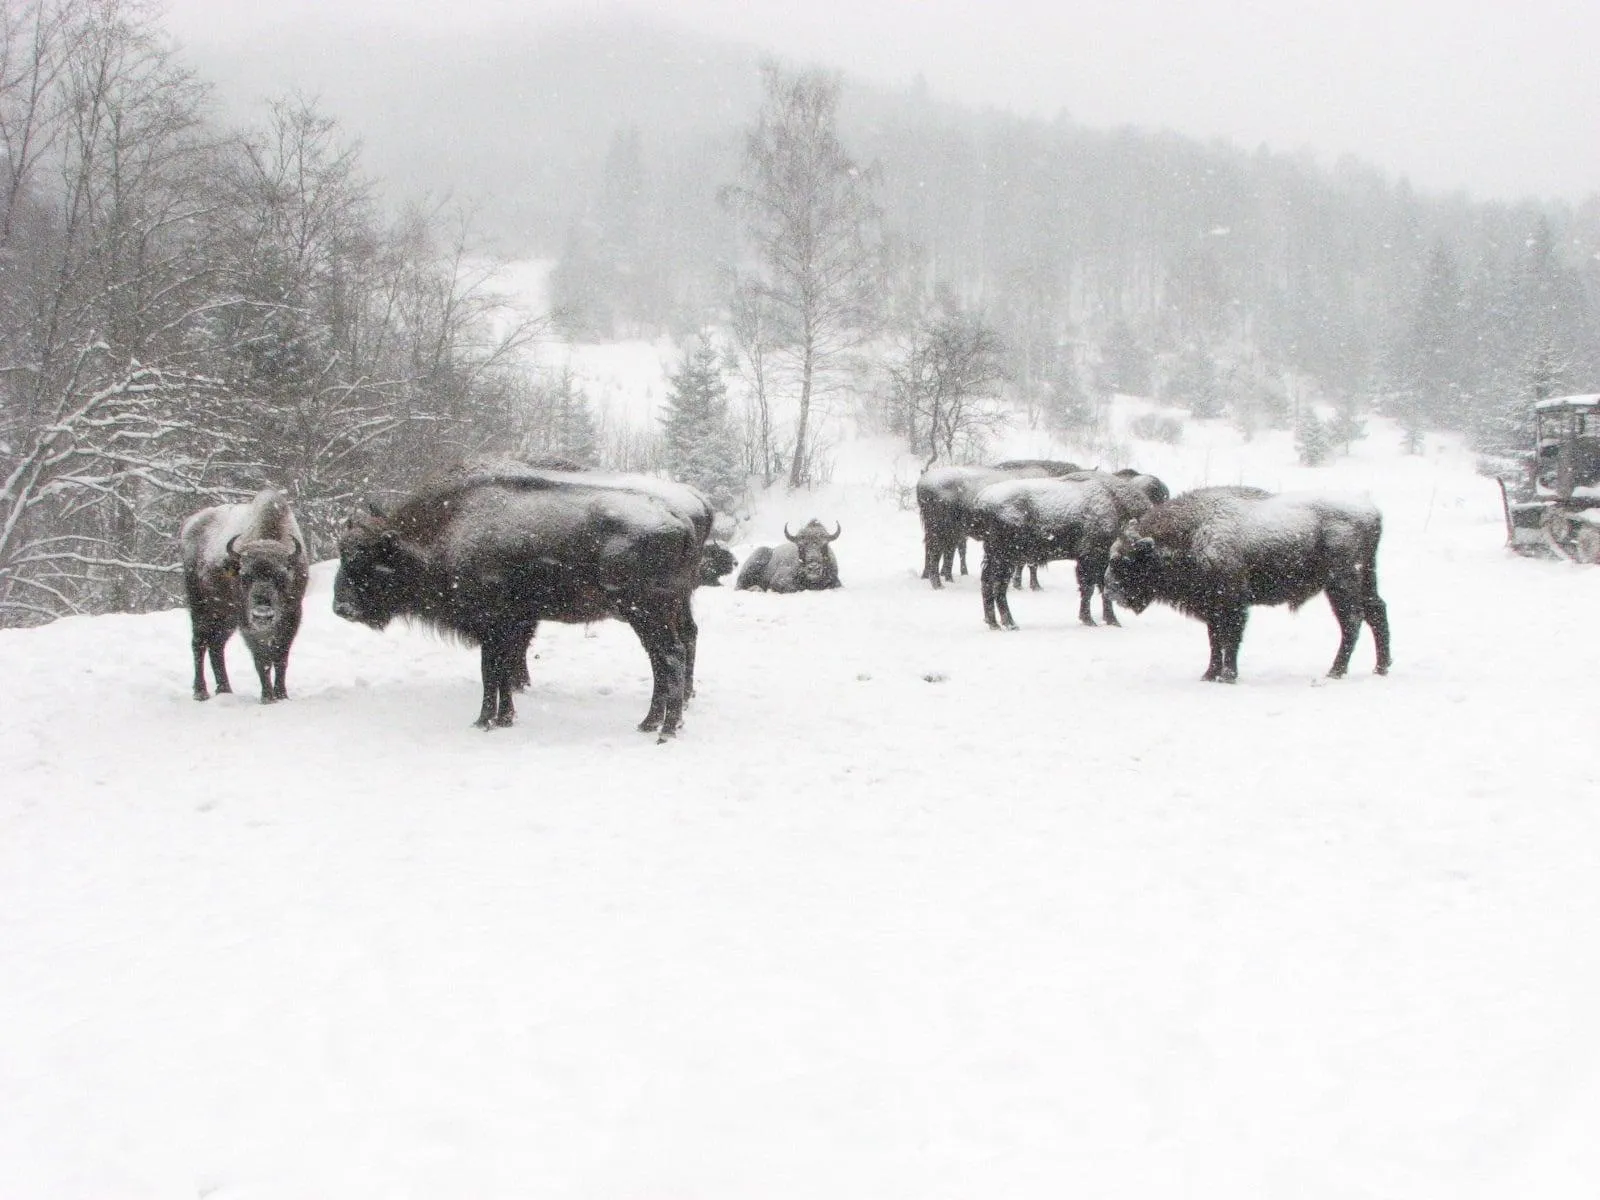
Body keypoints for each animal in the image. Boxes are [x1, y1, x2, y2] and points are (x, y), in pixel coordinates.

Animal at [181, 489, 308, 704]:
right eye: (245, 576)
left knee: (216, 646)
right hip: (201, 608)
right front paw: (268, 697)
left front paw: (282, 695)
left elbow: (280, 657)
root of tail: (190, 524)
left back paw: (225, 689)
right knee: (199, 643)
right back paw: (201, 692)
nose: (262, 613)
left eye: (281, 576)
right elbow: (261, 660)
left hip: (225, 617)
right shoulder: (248, 624)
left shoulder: (292, 615)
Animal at [331, 464, 707, 739]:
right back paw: (652, 723)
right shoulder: (508, 627)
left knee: (670, 656)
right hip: (661, 611)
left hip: (647, 613)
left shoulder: (492, 626)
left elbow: (491, 672)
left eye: (362, 561)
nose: (341, 608)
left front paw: (483, 721)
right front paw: (506, 717)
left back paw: (666, 729)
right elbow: (502, 670)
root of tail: (680, 519)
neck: (450, 529)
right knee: (667, 655)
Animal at [921, 460, 1081, 588]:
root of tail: (923, 482)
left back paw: (931, 576)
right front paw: (1032, 586)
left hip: (940, 530)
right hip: (942, 531)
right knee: (936, 552)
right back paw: (938, 583)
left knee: (934, 550)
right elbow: (1029, 564)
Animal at [1107, 483, 1395, 681]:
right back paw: (1381, 667)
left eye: (1125, 560)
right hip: (1364, 579)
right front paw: (1209, 674)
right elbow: (1215, 639)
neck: (1194, 531)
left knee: (1353, 620)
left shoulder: (1232, 602)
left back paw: (1335, 671)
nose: (1110, 590)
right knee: (1375, 611)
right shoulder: (1212, 605)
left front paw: (1227, 676)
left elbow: (1230, 638)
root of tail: (1372, 512)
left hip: (1341, 582)